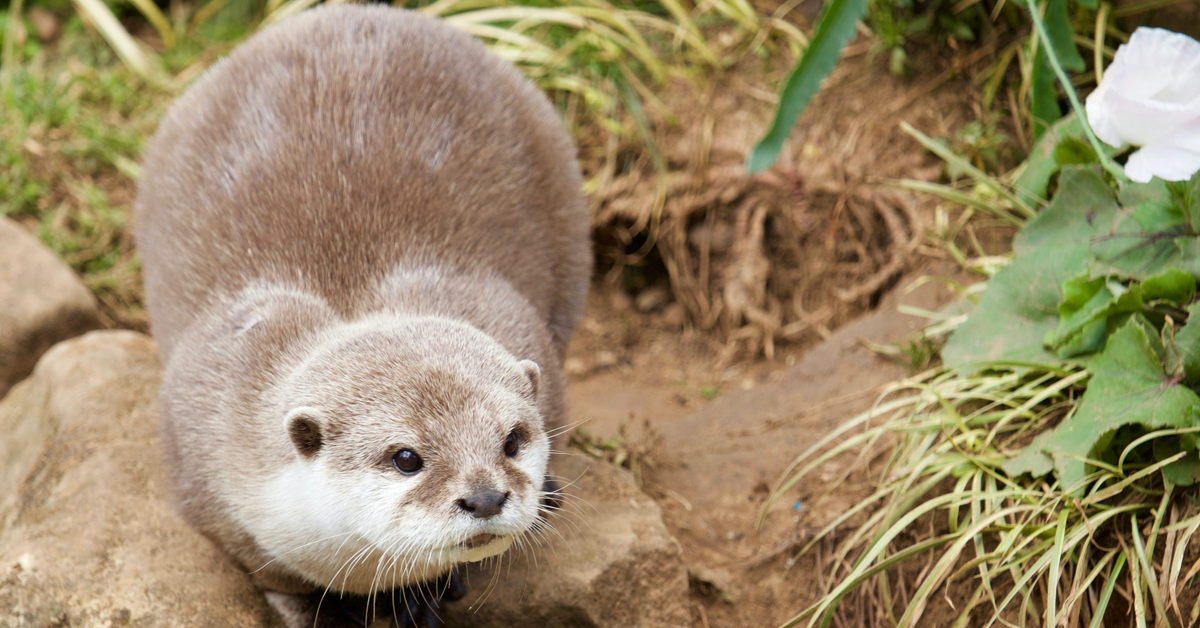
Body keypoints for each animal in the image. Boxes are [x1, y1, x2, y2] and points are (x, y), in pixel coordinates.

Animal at [133, 6, 590, 626]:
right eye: (406, 458)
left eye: (513, 439)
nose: (485, 496)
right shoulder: (202, 468)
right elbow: (273, 575)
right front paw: (321, 610)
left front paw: (424, 596)